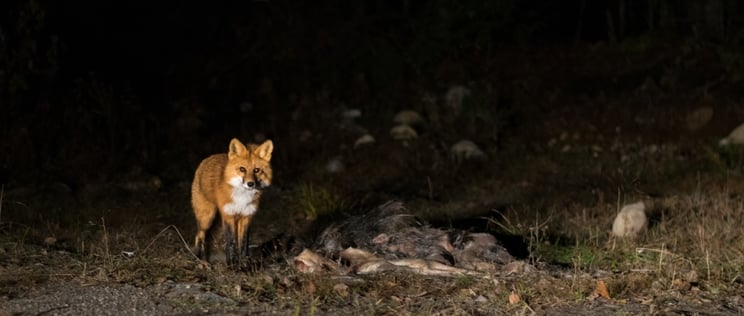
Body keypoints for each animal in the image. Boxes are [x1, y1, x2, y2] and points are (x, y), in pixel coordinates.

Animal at [192, 137, 274, 266]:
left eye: (256, 170)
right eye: (242, 169)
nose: (250, 184)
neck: (242, 198)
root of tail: (208, 158)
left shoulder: (246, 216)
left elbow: (243, 243)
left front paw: (244, 264)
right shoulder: (228, 215)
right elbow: (230, 243)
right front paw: (232, 265)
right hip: (207, 218)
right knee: (199, 235)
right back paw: (200, 260)